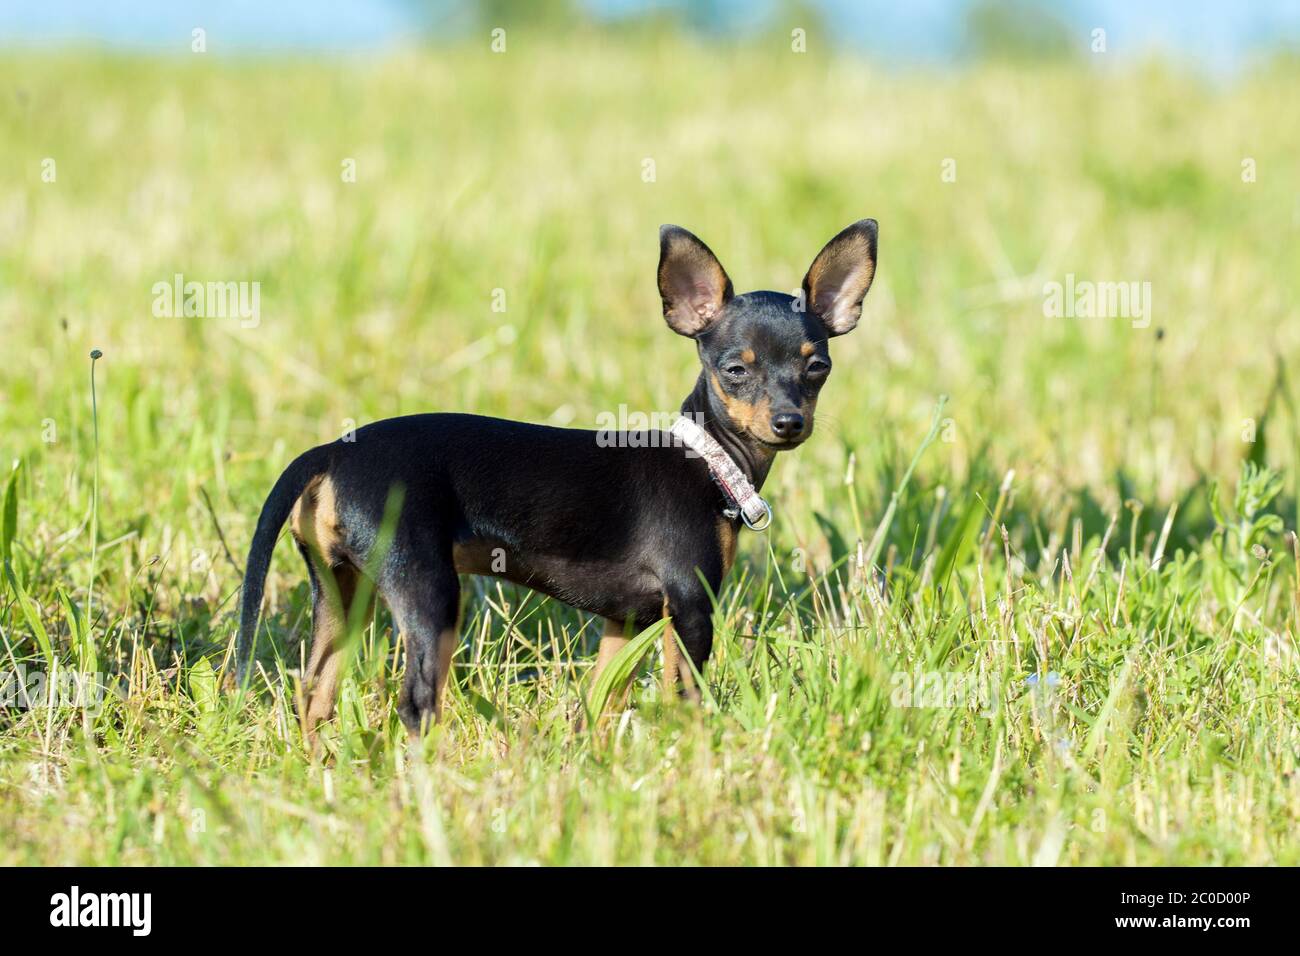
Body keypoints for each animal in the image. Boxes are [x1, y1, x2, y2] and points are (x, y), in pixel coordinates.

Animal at [236, 221, 873, 738]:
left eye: (818, 368)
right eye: (735, 370)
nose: (789, 422)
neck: (709, 456)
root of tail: (331, 452)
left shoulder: (626, 622)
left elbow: (598, 704)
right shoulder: (692, 608)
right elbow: (687, 702)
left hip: (343, 594)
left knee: (314, 696)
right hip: (428, 594)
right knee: (416, 708)